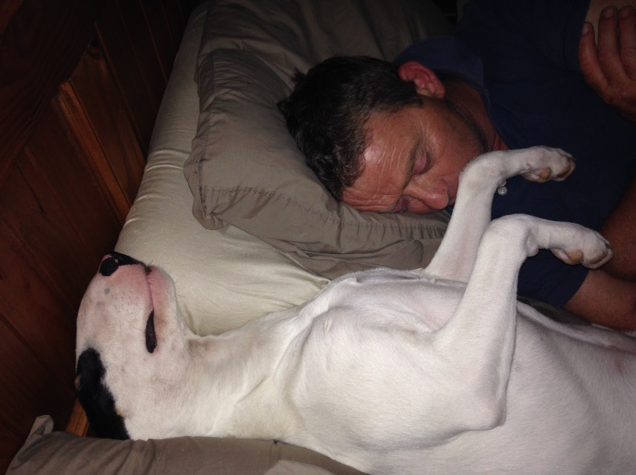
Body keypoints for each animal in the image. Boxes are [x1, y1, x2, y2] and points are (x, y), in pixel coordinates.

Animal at [76, 147, 636, 474]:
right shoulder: (464, 383)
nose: (109, 258)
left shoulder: (445, 274)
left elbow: (477, 173)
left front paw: (556, 187)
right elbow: (506, 228)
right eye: (83, 376)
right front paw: (580, 239)